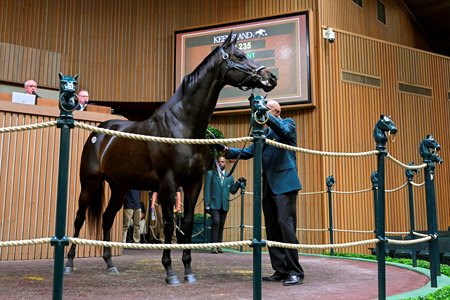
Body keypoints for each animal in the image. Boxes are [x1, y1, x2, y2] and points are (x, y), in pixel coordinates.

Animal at [61, 34, 276, 284]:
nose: (271, 77)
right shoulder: (168, 183)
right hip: (89, 183)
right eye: (240, 56)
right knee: (79, 218)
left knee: (106, 218)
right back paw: (68, 264)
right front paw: (170, 271)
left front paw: (189, 271)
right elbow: (169, 224)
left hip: (119, 187)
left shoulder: (194, 184)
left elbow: (188, 223)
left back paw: (110, 264)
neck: (181, 125)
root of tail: (99, 133)